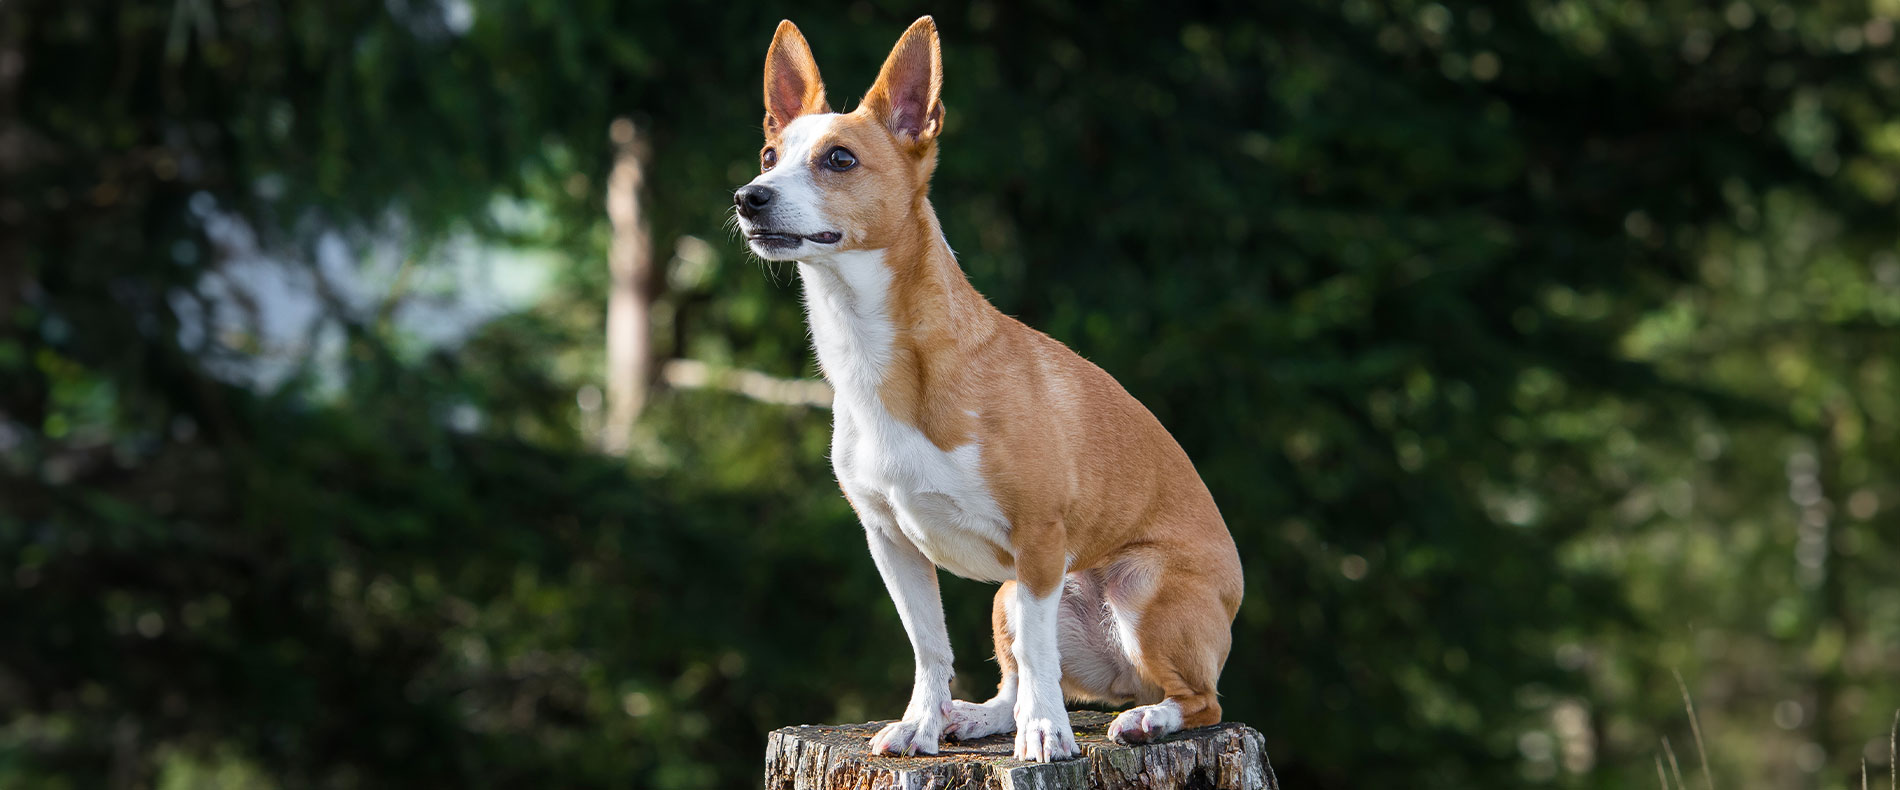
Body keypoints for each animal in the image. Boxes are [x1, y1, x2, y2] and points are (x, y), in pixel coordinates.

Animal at [729, 15, 1246, 763]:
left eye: (840, 160)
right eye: (769, 156)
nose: (749, 196)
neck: (874, 355)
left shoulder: (1038, 543)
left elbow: (1035, 656)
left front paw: (1046, 735)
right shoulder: (892, 543)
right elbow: (930, 647)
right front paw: (920, 724)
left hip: (1138, 589)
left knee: (1198, 698)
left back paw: (1146, 719)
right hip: (1007, 595)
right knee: (1017, 676)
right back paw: (978, 717)